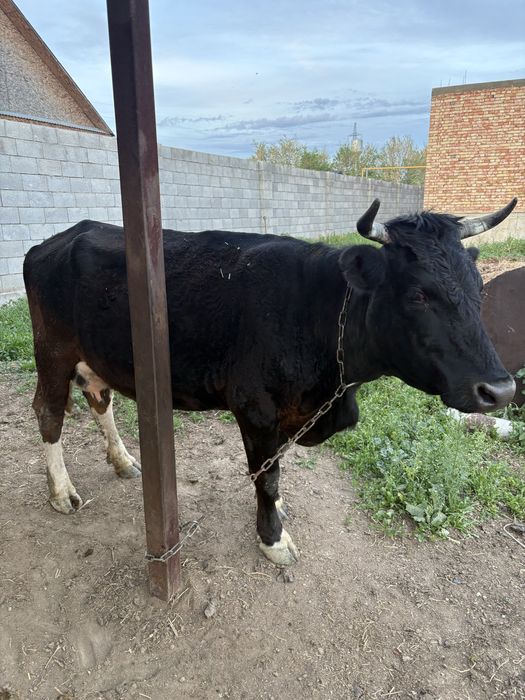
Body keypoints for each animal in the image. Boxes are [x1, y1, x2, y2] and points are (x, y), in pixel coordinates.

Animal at [23, 198, 517, 566]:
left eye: (479, 286)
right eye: (418, 294)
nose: (501, 390)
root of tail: (62, 236)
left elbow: (275, 470)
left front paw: (275, 515)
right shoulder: (256, 409)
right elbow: (269, 476)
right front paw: (273, 538)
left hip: (95, 358)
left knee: (99, 399)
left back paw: (124, 460)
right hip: (53, 351)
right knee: (49, 413)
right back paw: (62, 492)